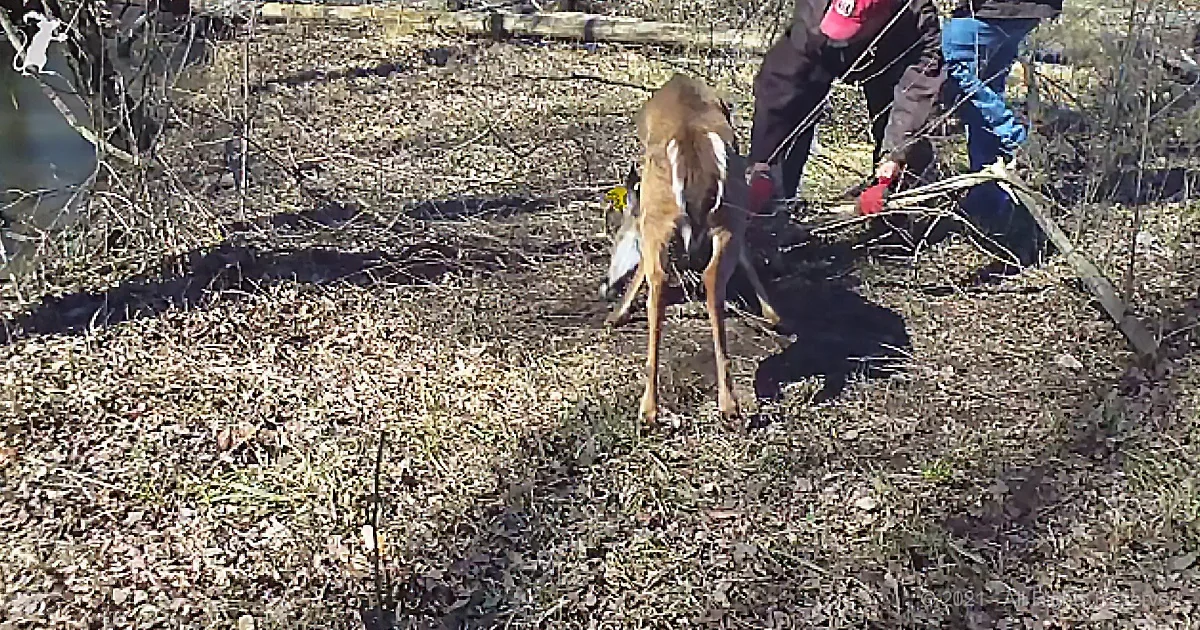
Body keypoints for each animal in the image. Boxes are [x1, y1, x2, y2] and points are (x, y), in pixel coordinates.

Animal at [600, 73, 782, 425]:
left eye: (618, 237)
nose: (605, 286)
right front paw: (773, 315)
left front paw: (616, 315)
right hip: (727, 214)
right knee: (713, 280)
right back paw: (728, 403)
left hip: (659, 215)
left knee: (658, 282)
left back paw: (649, 409)